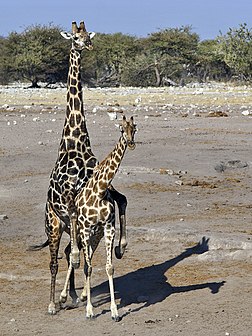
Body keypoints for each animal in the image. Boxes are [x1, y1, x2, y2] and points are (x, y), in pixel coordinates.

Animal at [30, 21, 128, 316]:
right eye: (75, 37)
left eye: (87, 33)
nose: (88, 44)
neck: (76, 142)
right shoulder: (72, 198)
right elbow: (75, 250)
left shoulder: (101, 190)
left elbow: (122, 199)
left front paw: (121, 247)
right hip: (52, 224)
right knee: (55, 260)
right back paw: (54, 303)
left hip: (71, 227)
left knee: (70, 253)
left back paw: (72, 295)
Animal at [60, 115, 137, 320]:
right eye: (121, 129)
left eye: (134, 128)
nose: (131, 143)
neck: (100, 190)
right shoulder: (86, 230)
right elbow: (88, 268)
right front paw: (89, 311)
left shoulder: (108, 228)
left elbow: (109, 267)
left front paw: (115, 312)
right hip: (80, 233)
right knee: (73, 255)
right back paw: (62, 297)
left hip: (95, 235)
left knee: (78, 254)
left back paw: (79, 295)